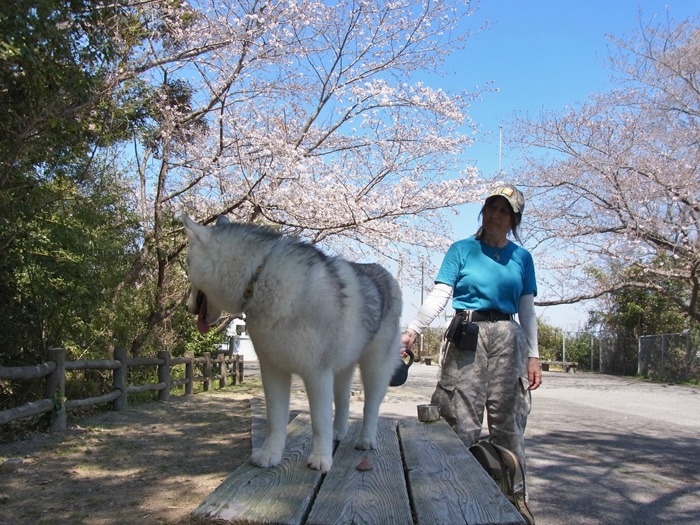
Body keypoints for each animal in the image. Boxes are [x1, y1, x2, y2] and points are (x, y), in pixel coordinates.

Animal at [180, 213, 402, 470]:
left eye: (187, 265)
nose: (187, 307)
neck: (259, 277)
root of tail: (383, 272)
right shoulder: (273, 370)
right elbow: (275, 420)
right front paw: (270, 454)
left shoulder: (317, 373)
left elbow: (319, 421)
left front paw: (320, 458)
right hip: (342, 367)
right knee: (343, 400)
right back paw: (338, 431)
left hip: (375, 368)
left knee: (371, 405)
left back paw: (366, 438)